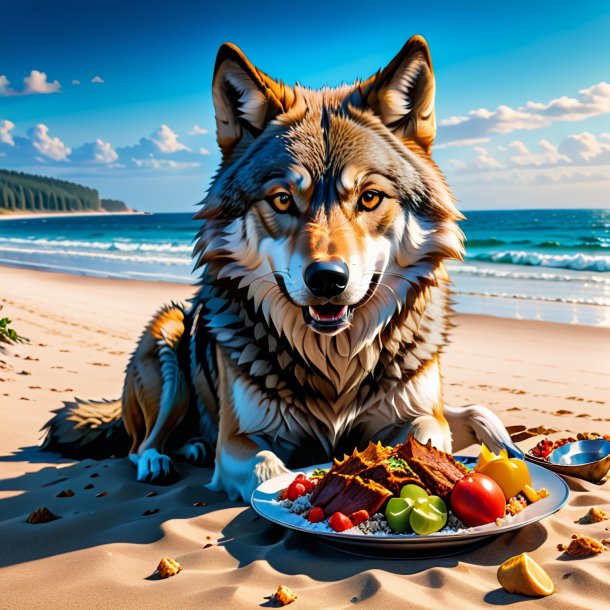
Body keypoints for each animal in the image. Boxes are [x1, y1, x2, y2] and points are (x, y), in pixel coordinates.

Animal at [42, 38, 516, 502]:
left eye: (369, 197)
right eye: (284, 199)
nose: (327, 278)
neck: (335, 366)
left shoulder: (421, 413)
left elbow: (448, 425)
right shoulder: (239, 439)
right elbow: (267, 466)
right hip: (169, 334)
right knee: (141, 444)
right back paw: (165, 458)